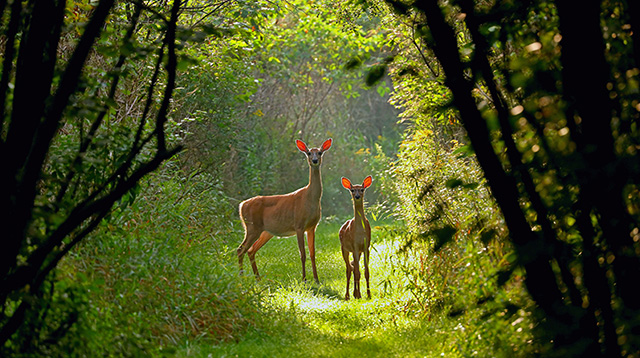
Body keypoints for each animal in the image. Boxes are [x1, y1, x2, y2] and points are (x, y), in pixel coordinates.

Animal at [238, 138, 332, 284]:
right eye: (309, 153)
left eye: (320, 152)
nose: (315, 160)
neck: (310, 198)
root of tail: (241, 205)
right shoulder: (299, 225)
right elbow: (303, 254)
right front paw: (304, 279)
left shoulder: (312, 227)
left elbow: (312, 253)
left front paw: (316, 280)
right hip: (252, 227)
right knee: (240, 249)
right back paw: (242, 278)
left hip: (265, 232)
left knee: (250, 250)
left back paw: (258, 278)